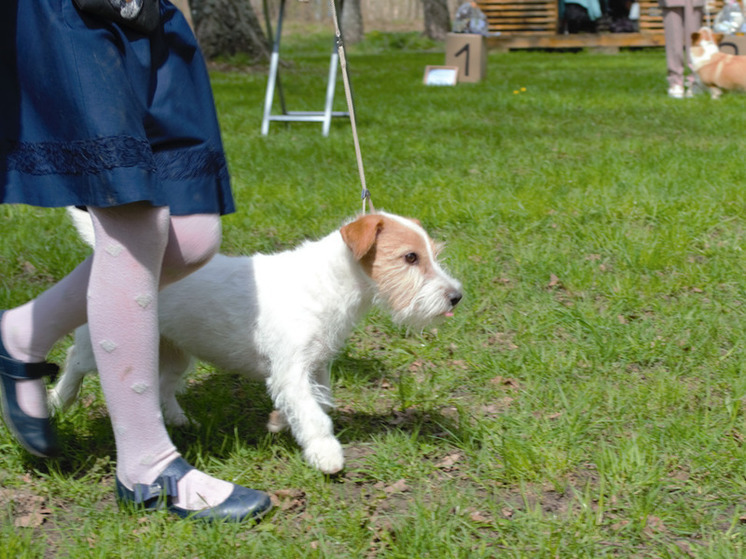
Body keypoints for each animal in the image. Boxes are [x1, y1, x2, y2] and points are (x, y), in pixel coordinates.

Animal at [50, 212, 460, 474]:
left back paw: (179, 419)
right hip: (101, 344)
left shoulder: (317, 364)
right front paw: (325, 453)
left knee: (163, 385)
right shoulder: (291, 368)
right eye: (410, 257)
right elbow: (314, 415)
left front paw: (281, 421)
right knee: (74, 359)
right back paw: (56, 401)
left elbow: (320, 402)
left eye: (433, 254)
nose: (456, 296)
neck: (331, 283)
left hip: (175, 351)